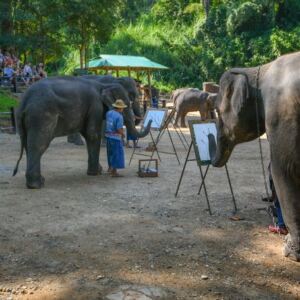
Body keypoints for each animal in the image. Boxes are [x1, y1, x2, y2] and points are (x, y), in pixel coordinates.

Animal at [12, 76, 151, 189]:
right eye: (128, 101)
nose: (149, 119)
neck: (104, 85)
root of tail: (24, 101)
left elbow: (88, 133)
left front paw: (98, 171)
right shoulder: (96, 106)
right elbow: (92, 134)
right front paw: (96, 173)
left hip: (26, 120)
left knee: (28, 145)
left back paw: (38, 181)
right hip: (41, 115)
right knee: (38, 145)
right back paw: (36, 185)